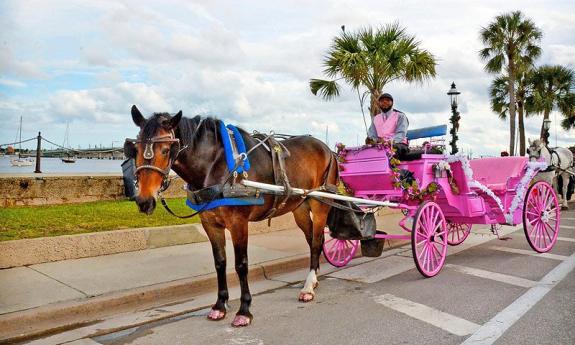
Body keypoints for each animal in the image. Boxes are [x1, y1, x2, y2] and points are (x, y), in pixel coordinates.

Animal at [124, 105, 336, 326]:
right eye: (135, 150)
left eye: (166, 150)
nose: (144, 200)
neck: (215, 165)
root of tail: (327, 148)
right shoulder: (210, 223)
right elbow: (220, 262)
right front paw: (220, 305)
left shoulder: (238, 222)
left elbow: (241, 264)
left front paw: (244, 310)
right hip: (299, 208)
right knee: (312, 239)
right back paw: (314, 279)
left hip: (320, 203)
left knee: (316, 242)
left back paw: (308, 286)